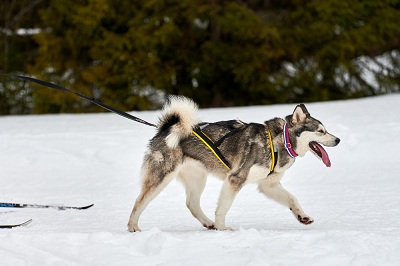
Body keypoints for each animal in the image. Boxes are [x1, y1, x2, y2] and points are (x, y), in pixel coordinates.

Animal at [126, 95, 340, 231]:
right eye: (320, 131)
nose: (338, 140)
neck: (279, 142)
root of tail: (165, 128)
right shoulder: (235, 179)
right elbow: (223, 208)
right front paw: (223, 228)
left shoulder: (268, 185)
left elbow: (292, 199)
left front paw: (302, 216)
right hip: (161, 177)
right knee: (139, 201)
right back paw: (133, 227)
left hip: (198, 178)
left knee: (192, 204)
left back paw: (209, 223)